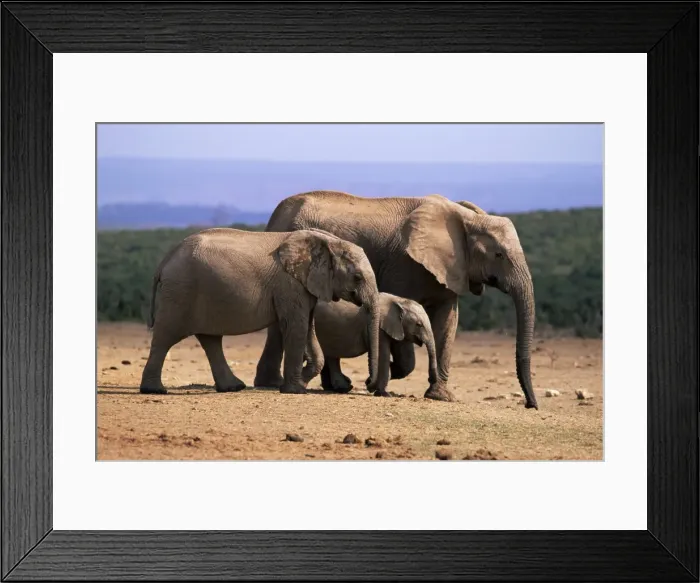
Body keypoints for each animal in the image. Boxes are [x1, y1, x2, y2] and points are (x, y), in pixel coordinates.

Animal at [139, 226, 381, 395]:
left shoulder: (305, 286)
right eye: (357, 277)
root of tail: (166, 259)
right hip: (180, 292)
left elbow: (308, 327)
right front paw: (295, 390)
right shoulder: (289, 285)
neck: (328, 241)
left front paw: (300, 381)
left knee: (210, 339)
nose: (368, 384)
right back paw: (155, 390)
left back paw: (233, 387)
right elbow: (296, 326)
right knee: (166, 335)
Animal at [306, 292, 438, 397]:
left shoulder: (396, 328)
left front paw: (371, 383)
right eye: (419, 324)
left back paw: (341, 388)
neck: (398, 301)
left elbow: (405, 363)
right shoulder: (380, 328)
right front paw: (384, 394)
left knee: (332, 356)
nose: (430, 379)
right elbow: (383, 356)